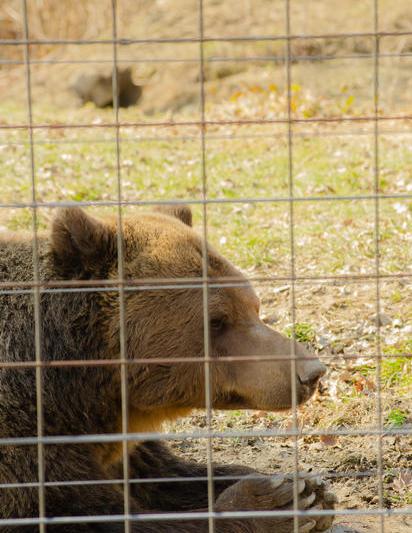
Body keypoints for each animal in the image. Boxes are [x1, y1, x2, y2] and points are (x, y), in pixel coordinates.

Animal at [0, 206, 334, 528]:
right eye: (216, 321)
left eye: (254, 306)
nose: (311, 372)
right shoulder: (26, 435)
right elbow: (81, 511)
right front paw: (273, 502)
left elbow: (167, 475)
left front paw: (310, 489)